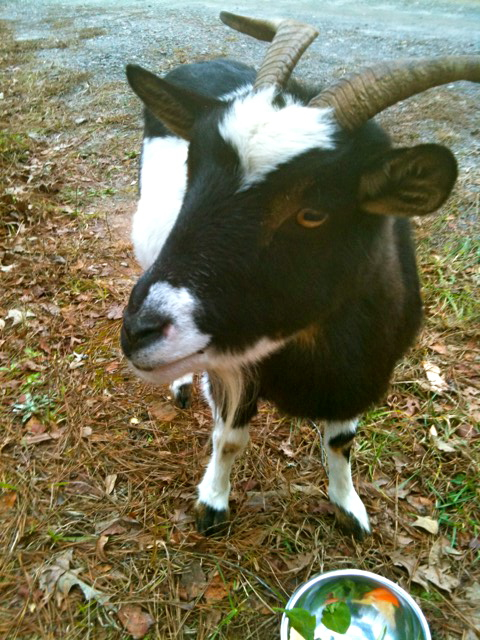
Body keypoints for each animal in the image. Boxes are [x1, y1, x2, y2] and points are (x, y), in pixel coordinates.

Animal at [121, 12, 480, 536]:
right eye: (193, 168)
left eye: (313, 213)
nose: (139, 332)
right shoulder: (235, 371)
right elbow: (230, 438)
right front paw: (213, 503)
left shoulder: (359, 379)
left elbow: (341, 442)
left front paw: (350, 508)